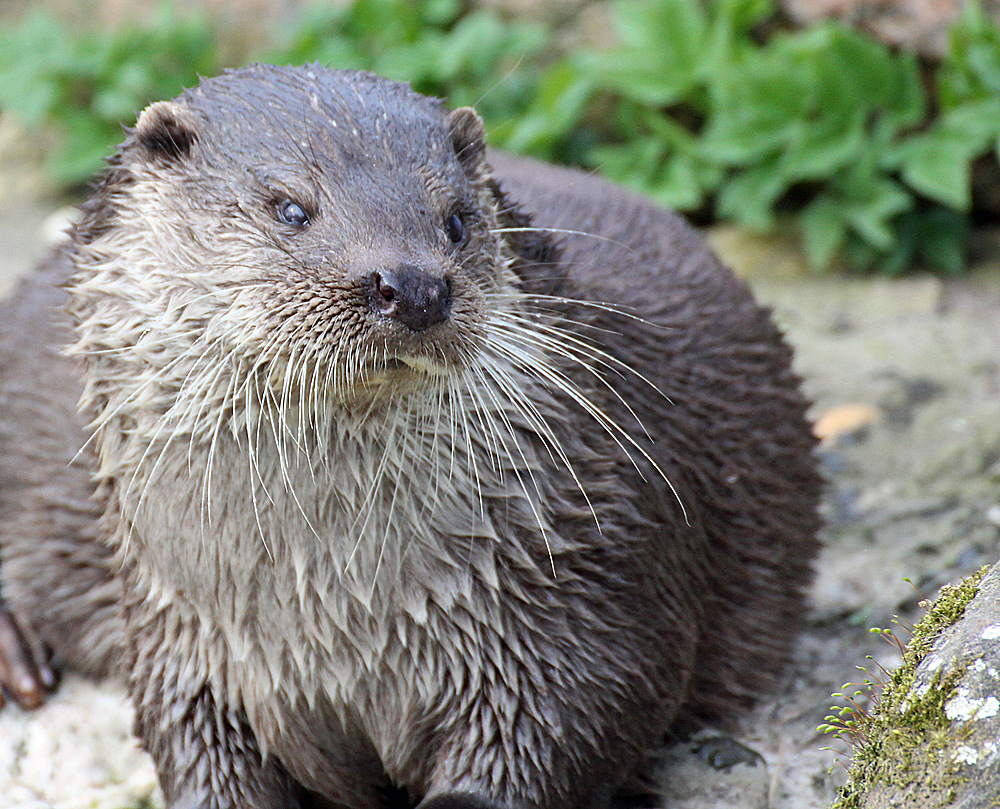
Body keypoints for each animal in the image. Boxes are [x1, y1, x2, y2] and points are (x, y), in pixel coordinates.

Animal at [0, 64, 820, 808]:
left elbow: (582, 715)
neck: (336, 609)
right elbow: (191, 745)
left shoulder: (592, 585)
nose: (414, 284)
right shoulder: (179, 636)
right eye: (290, 207)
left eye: (455, 219)